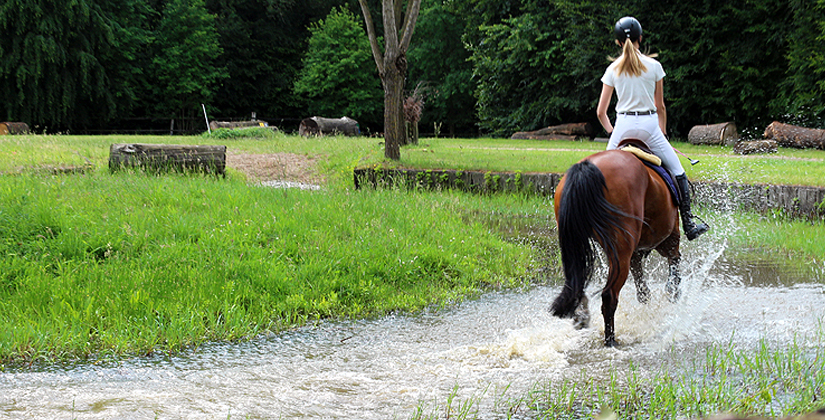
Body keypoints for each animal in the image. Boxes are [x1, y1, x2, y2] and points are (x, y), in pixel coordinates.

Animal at [548, 143, 684, 346]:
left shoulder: (636, 252)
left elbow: (642, 288)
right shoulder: (669, 237)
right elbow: (673, 265)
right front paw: (673, 294)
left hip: (577, 245)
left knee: (576, 284)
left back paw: (582, 318)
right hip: (621, 250)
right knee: (609, 295)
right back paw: (610, 340)